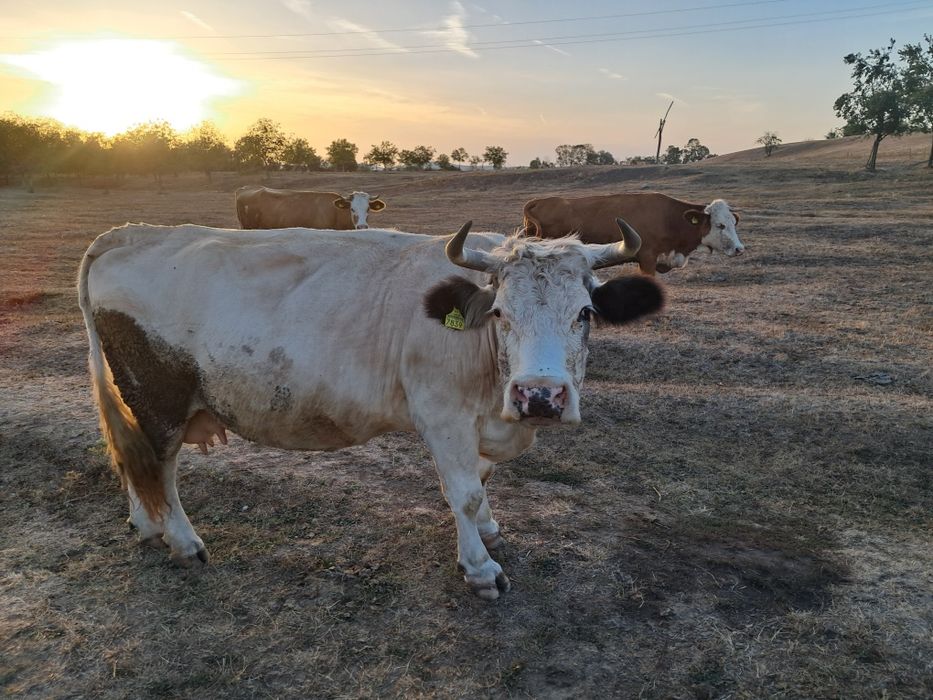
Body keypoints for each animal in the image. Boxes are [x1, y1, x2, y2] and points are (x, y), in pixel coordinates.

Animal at [78, 219, 663, 599]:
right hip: (158, 396)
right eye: (499, 312)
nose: (540, 395)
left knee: (134, 460)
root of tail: (130, 233)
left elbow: (482, 480)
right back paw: (182, 540)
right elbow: (465, 493)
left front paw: (491, 529)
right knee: (159, 464)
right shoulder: (443, 415)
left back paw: (147, 525)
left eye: (585, 313)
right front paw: (480, 567)